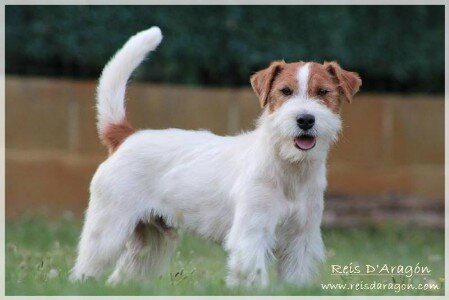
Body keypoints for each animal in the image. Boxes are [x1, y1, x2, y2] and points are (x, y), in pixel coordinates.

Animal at [72, 27, 362, 288]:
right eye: (285, 91)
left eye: (323, 92)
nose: (305, 119)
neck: (289, 167)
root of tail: (126, 135)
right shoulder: (252, 233)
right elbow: (253, 275)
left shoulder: (300, 239)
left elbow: (294, 279)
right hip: (108, 229)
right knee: (87, 267)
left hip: (152, 237)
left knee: (124, 274)